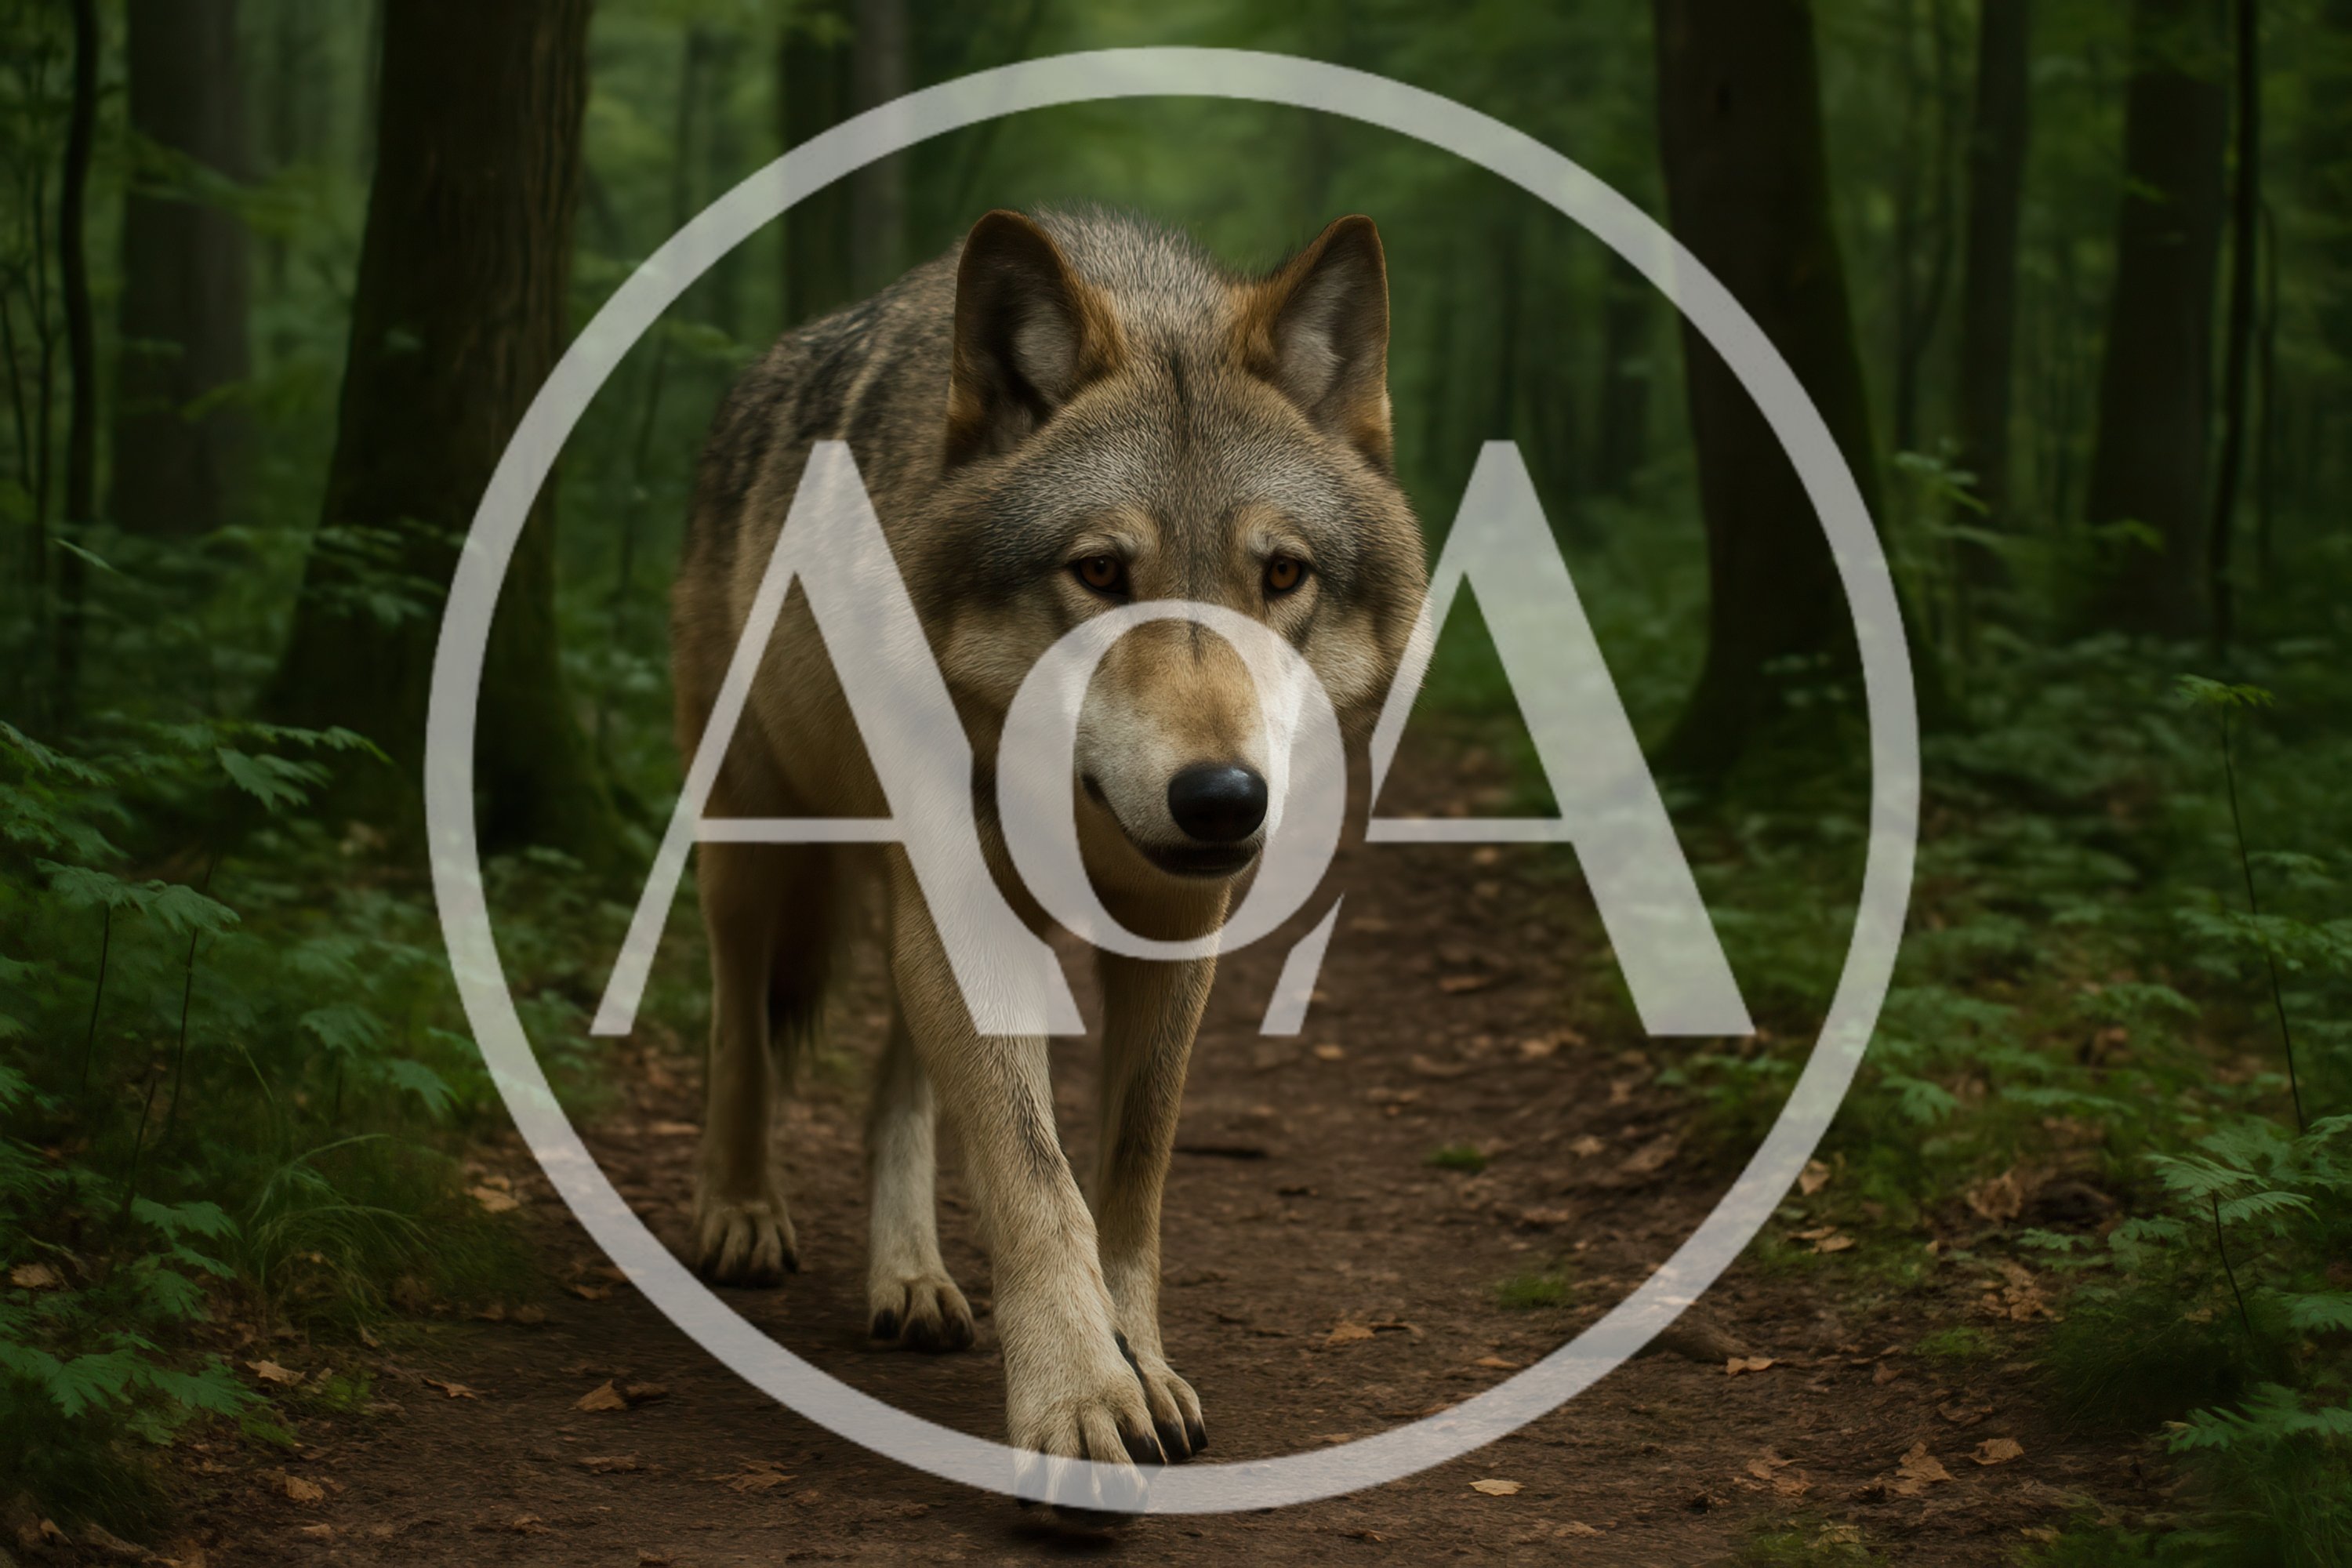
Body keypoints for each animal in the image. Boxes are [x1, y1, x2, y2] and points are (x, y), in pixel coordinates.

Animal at [670, 206, 1426, 1478]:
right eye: (1099, 571)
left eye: (1282, 573)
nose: (1221, 799)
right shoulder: (961, 906)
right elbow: (1034, 1172)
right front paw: (1078, 1400)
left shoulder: (1176, 930)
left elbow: (1129, 1169)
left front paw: (1138, 1360)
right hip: (754, 841)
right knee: (739, 1024)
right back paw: (738, 1211)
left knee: (897, 1083)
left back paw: (910, 1277)